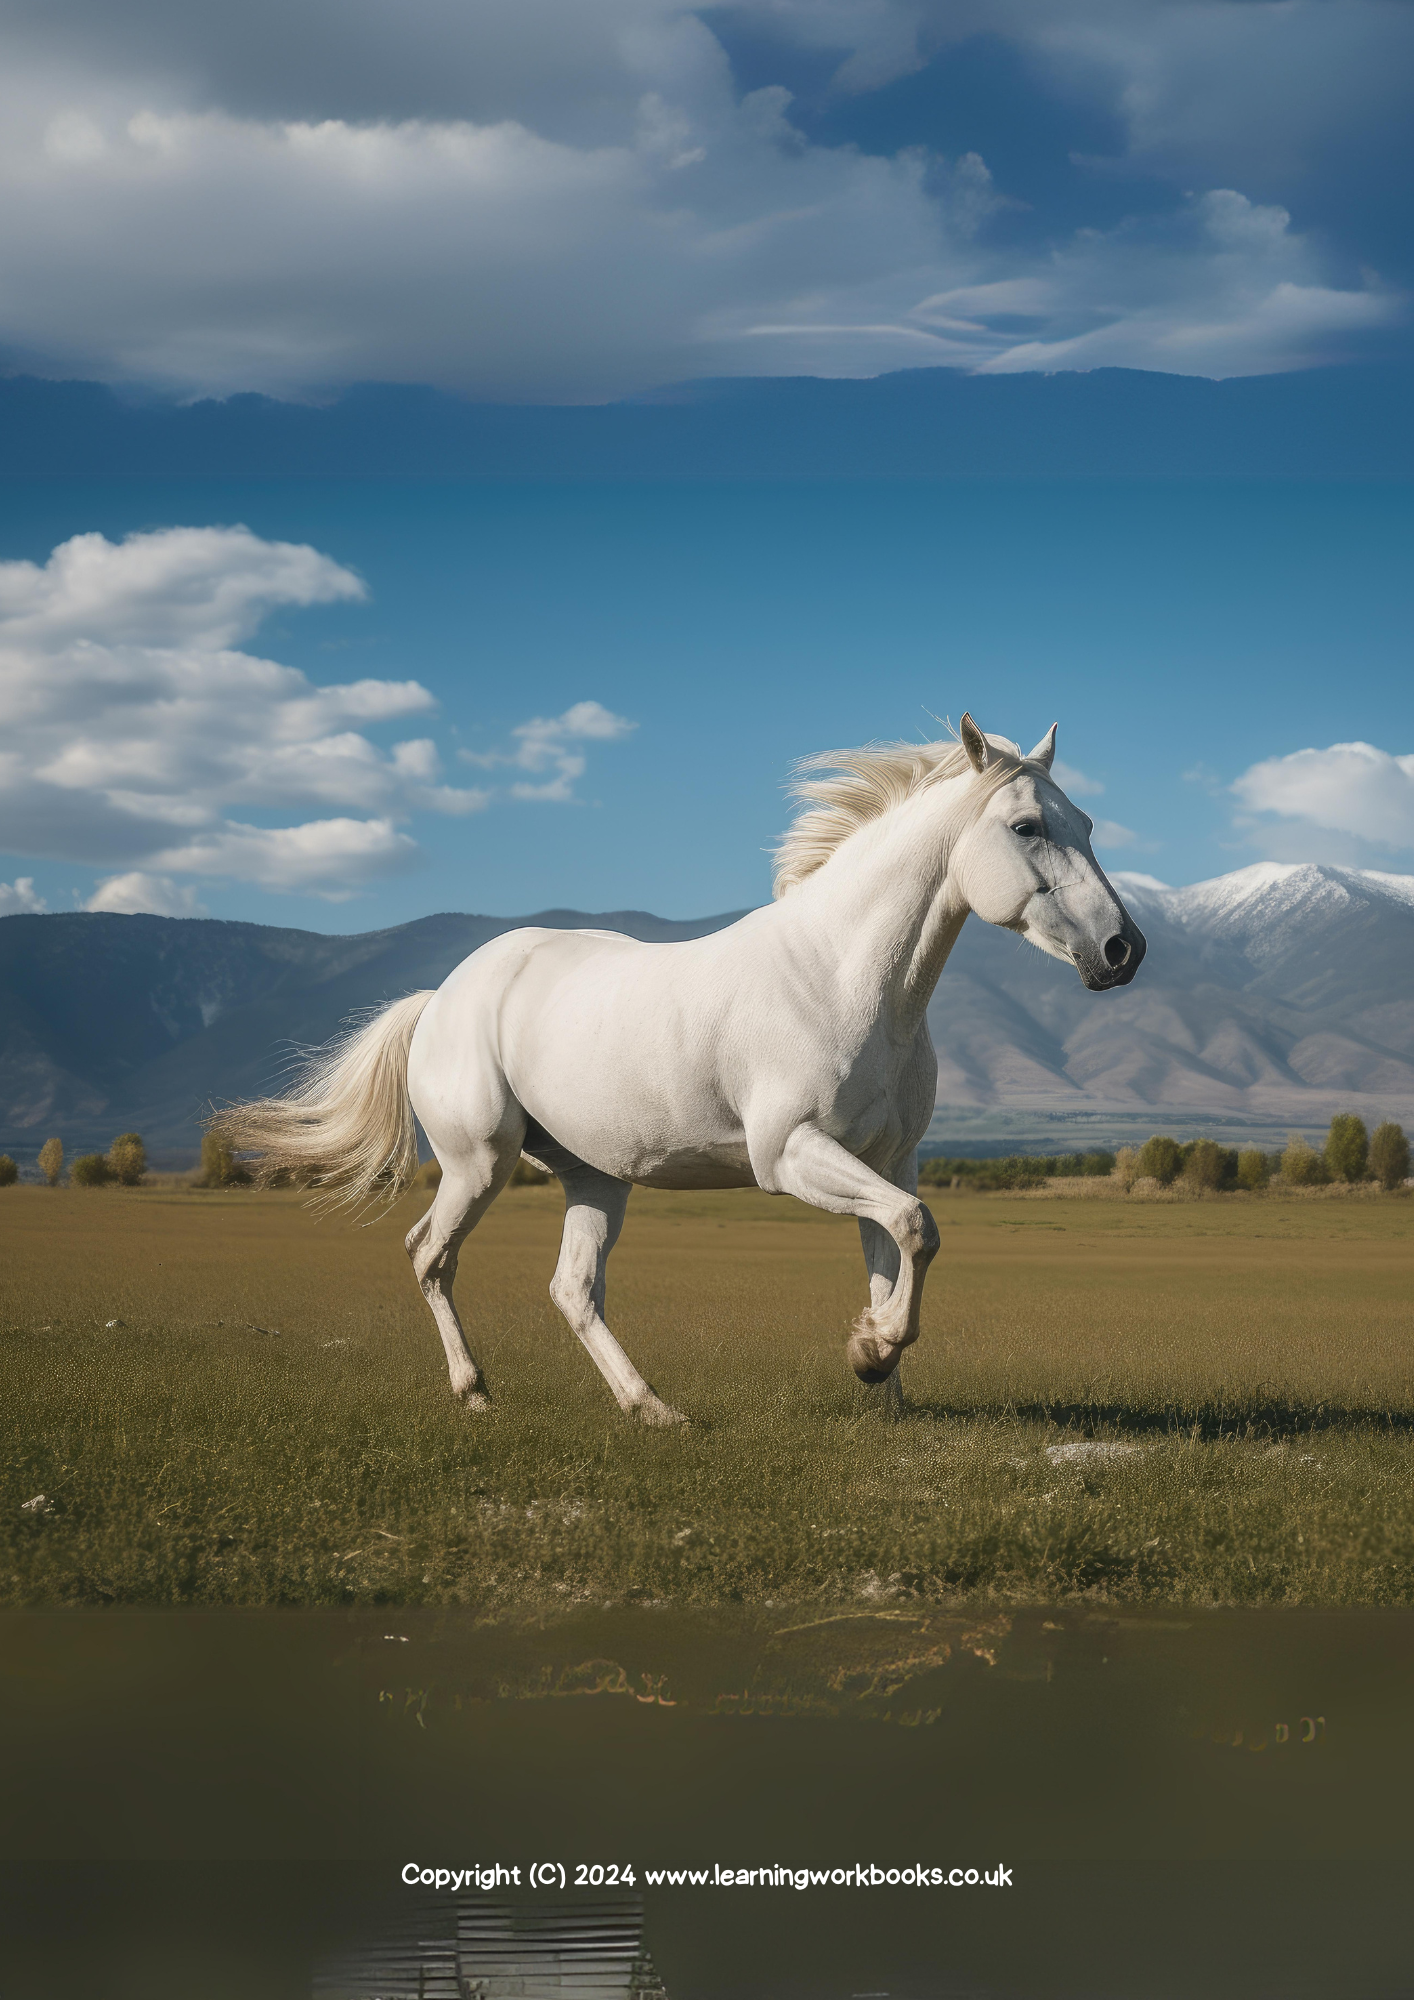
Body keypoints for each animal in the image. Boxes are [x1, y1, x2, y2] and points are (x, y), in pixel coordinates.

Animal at [220, 715, 1145, 1424]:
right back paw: (476, 1391)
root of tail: (442, 997)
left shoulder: (890, 1159)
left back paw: (650, 1407)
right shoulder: (790, 1155)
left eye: (1090, 824)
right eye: (1027, 827)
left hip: (595, 1179)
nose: (1123, 950)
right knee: (429, 1257)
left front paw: (879, 1377)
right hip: (477, 1163)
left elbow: (897, 1247)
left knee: (573, 1289)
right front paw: (872, 1353)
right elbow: (917, 1230)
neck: (841, 977)